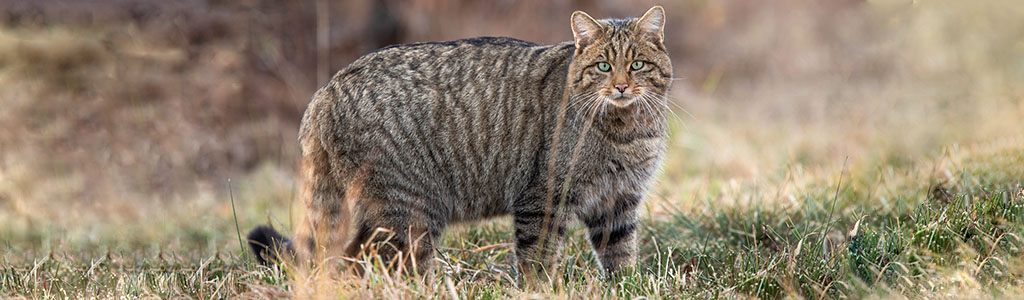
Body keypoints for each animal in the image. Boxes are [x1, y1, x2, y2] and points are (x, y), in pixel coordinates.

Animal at [248, 5, 675, 276]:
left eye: (637, 64)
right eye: (603, 66)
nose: (621, 86)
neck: (627, 130)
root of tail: (326, 89)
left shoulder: (618, 202)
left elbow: (621, 258)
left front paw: (624, 286)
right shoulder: (544, 199)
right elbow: (537, 262)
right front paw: (541, 288)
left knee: (349, 261)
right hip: (411, 212)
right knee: (383, 266)